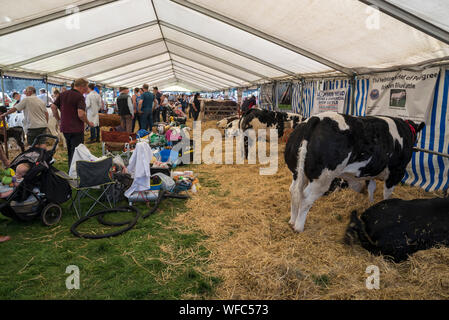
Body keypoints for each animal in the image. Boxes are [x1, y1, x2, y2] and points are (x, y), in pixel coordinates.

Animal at [286, 112, 422, 232]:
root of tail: (317, 118)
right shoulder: (396, 172)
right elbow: (387, 194)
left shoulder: (370, 171)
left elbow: (371, 187)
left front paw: (370, 202)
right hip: (322, 178)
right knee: (306, 197)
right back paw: (298, 227)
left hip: (298, 172)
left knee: (294, 191)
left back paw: (292, 221)